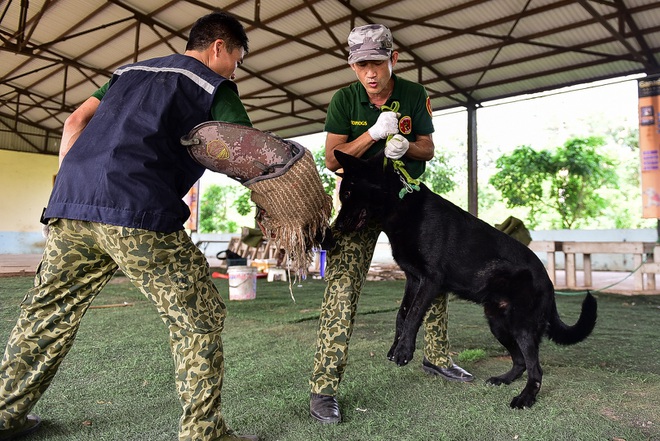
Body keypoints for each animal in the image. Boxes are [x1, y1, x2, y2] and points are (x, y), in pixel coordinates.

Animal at [332, 150, 596, 408]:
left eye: (347, 193)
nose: (334, 229)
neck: (401, 204)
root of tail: (548, 281)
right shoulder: (413, 279)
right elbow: (402, 314)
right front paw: (397, 346)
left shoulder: (430, 280)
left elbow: (414, 314)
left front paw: (404, 350)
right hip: (498, 324)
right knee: (521, 362)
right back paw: (505, 380)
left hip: (521, 326)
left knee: (536, 369)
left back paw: (525, 398)